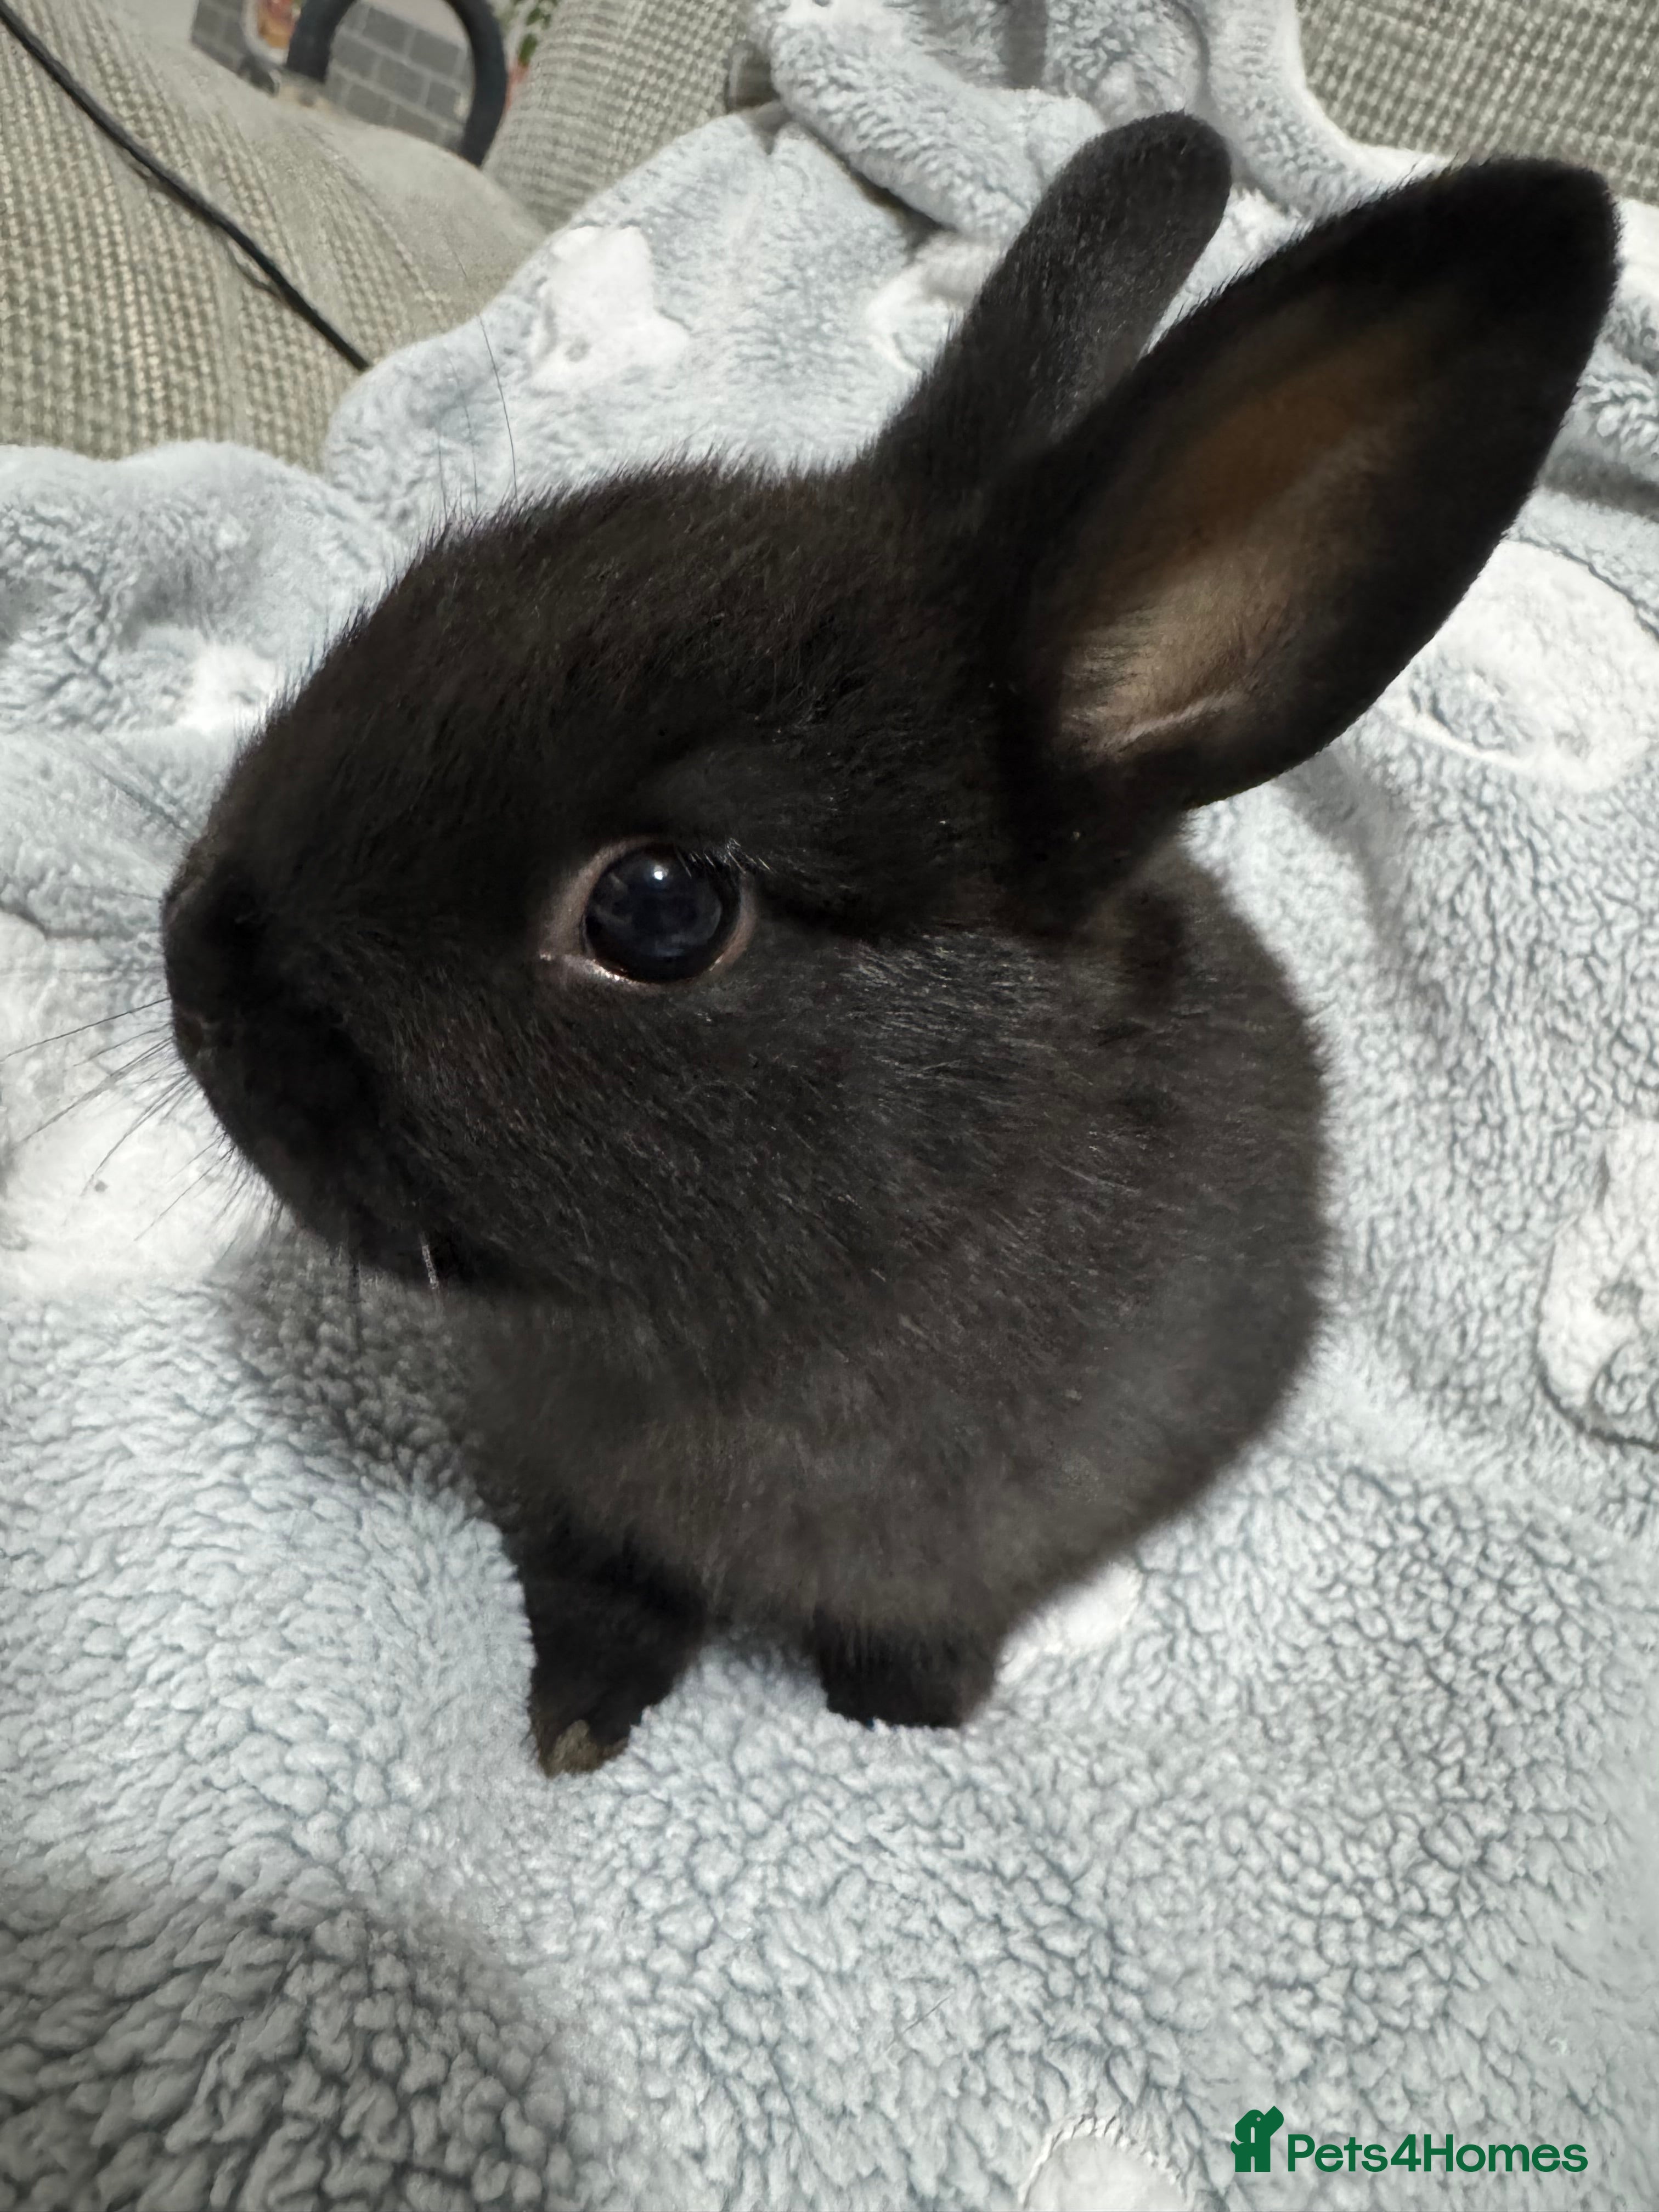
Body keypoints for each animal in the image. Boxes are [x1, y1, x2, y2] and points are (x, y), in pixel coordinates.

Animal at [160, 115, 1616, 1766]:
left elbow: (920, 1629)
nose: (197, 982)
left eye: (659, 910)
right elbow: (610, 1589)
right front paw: (579, 1724)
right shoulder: (591, 1509)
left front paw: (904, 1717)